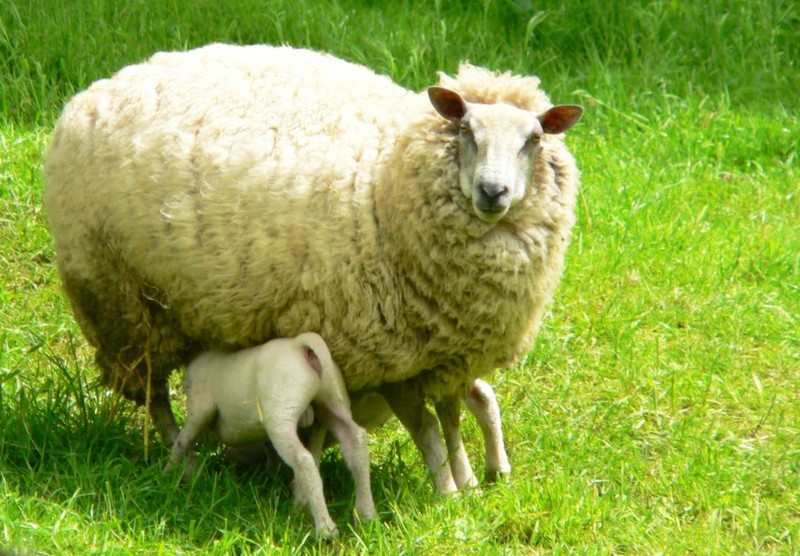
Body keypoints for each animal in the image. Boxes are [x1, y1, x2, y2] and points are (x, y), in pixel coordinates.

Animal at [42, 44, 580, 496]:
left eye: (534, 139)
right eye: (466, 131)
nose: (492, 192)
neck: (388, 181)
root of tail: (94, 92)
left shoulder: (447, 355)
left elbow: (452, 415)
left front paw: (473, 481)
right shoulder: (391, 358)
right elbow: (429, 428)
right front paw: (449, 493)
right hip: (121, 299)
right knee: (152, 391)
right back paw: (184, 462)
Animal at [165, 332, 378, 536]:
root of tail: (300, 344)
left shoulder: (200, 408)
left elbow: (182, 441)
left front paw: (169, 474)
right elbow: (268, 449)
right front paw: (271, 473)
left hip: (281, 412)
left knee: (303, 460)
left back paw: (326, 529)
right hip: (331, 401)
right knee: (355, 441)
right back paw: (366, 514)